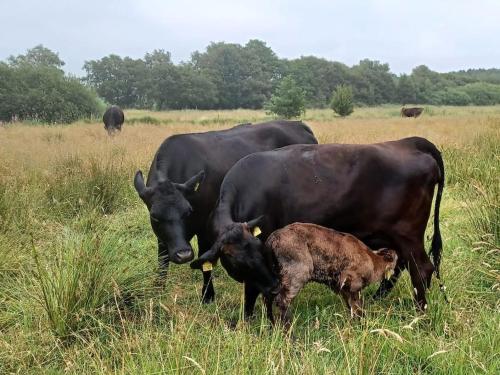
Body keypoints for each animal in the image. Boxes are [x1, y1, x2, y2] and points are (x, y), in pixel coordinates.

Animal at [135, 122, 318, 304]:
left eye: (188, 212)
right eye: (154, 216)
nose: (184, 254)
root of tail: (298, 124)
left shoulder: (205, 227)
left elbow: (204, 258)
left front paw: (208, 295)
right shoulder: (163, 237)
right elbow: (163, 259)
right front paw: (158, 291)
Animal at [191, 138, 446, 314]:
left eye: (260, 252)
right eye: (237, 260)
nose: (273, 287)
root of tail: (409, 142)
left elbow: (252, 292)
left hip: (408, 235)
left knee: (422, 270)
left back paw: (419, 313)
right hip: (396, 236)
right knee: (401, 265)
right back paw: (379, 298)